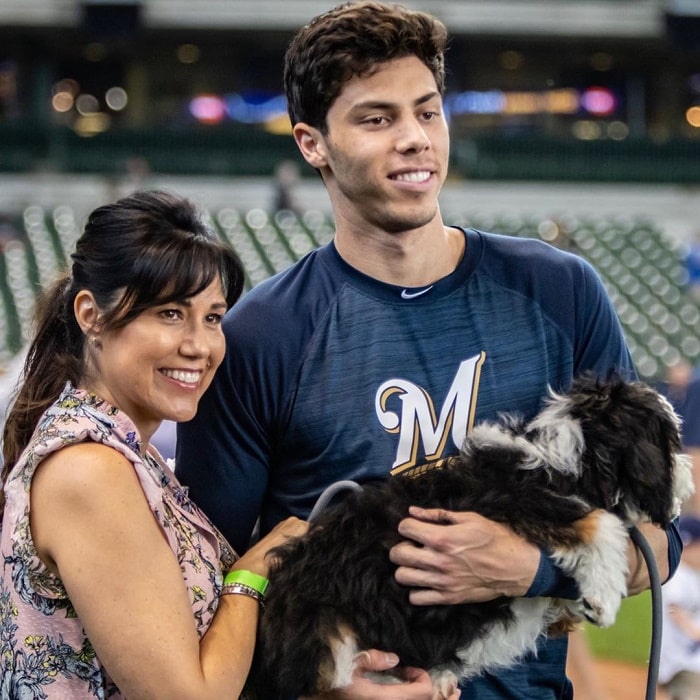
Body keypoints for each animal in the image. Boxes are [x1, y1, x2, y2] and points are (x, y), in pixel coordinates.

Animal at [254, 372, 692, 696]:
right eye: (671, 441)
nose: (689, 481)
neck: (566, 459)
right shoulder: (520, 503)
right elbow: (600, 522)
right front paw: (602, 599)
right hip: (330, 638)